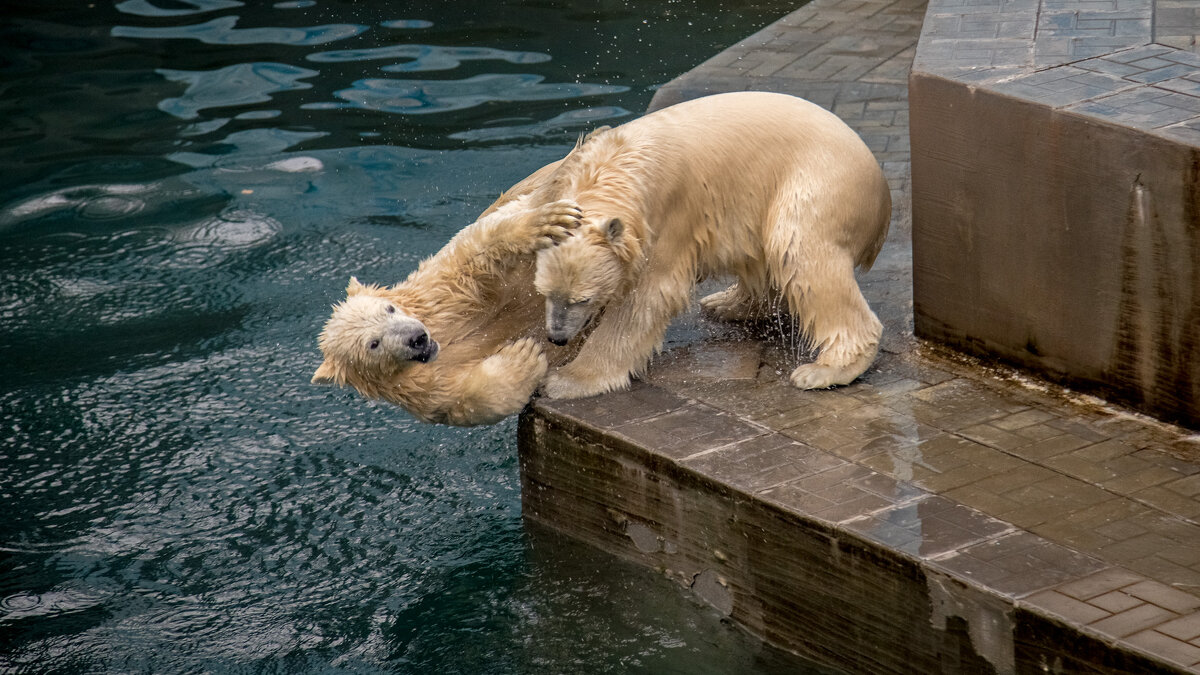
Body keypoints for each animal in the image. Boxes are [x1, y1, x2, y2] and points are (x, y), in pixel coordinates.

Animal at [314, 168, 580, 422]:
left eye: (389, 309)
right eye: (373, 344)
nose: (417, 338)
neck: (440, 336)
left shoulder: (438, 292)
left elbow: (476, 250)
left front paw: (547, 222)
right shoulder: (425, 392)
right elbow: (472, 402)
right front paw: (523, 356)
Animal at [535, 87, 892, 396]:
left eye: (583, 298)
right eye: (545, 292)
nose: (557, 338)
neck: (617, 168)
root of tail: (882, 196)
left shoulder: (667, 216)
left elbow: (646, 297)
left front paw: (568, 380)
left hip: (817, 183)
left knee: (797, 249)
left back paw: (823, 371)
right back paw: (726, 303)